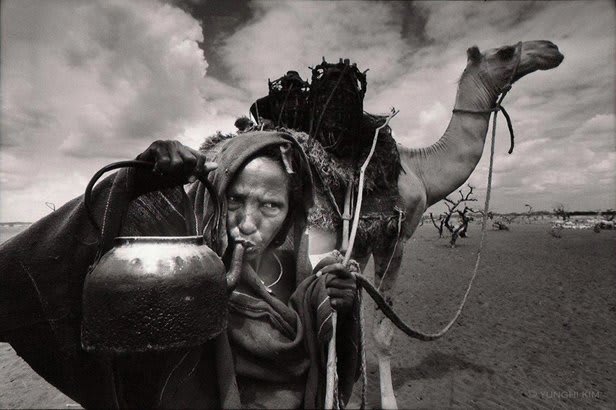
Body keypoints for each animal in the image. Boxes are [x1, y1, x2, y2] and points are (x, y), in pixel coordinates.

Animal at [306, 39, 564, 406]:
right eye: (504, 51)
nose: (551, 49)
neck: (421, 171)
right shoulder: (395, 239)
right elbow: (383, 331)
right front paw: (388, 401)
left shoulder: (363, 239)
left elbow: (352, 310)